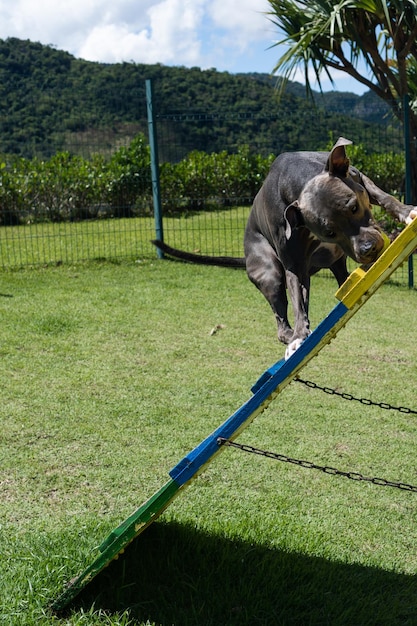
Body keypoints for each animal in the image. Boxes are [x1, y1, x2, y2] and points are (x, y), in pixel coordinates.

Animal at [244, 136, 416, 360]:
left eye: (354, 207)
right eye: (329, 233)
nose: (367, 249)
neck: (300, 180)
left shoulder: (359, 177)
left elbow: (383, 196)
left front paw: (406, 212)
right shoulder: (293, 265)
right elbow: (297, 303)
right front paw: (299, 336)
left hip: (333, 265)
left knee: (341, 279)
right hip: (269, 272)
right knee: (281, 317)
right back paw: (291, 337)